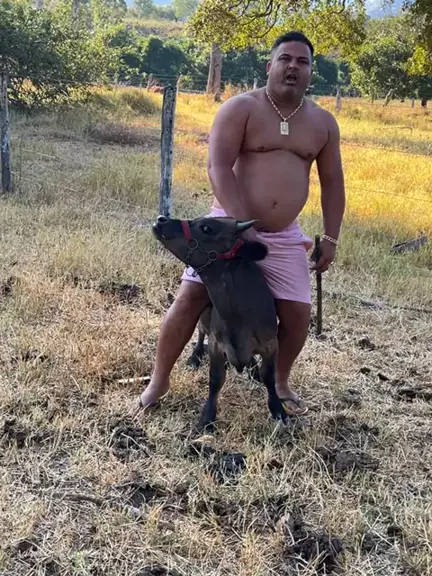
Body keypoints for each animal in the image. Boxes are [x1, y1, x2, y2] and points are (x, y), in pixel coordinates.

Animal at [152, 214, 289, 431]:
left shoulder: (270, 344)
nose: (161, 219)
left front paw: (278, 410)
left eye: (207, 228)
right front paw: (207, 417)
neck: (238, 321)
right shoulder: (217, 345)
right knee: (201, 333)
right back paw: (195, 356)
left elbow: (269, 376)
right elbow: (216, 379)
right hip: (203, 318)